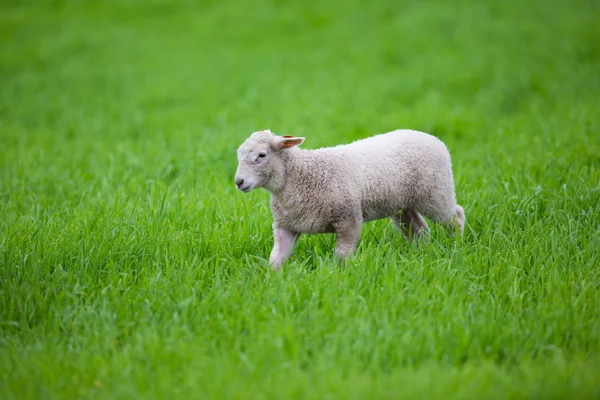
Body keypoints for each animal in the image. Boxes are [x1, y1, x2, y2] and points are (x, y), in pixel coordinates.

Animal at [233, 130, 464, 270]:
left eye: (261, 155)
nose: (238, 182)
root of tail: (430, 137)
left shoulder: (349, 219)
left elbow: (342, 256)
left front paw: (340, 277)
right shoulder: (285, 226)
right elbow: (276, 259)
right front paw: (271, 283)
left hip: (437, 193)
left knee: (456, 216)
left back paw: (457, 245)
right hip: (402, 204)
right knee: (420, 230)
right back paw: (419, 255)